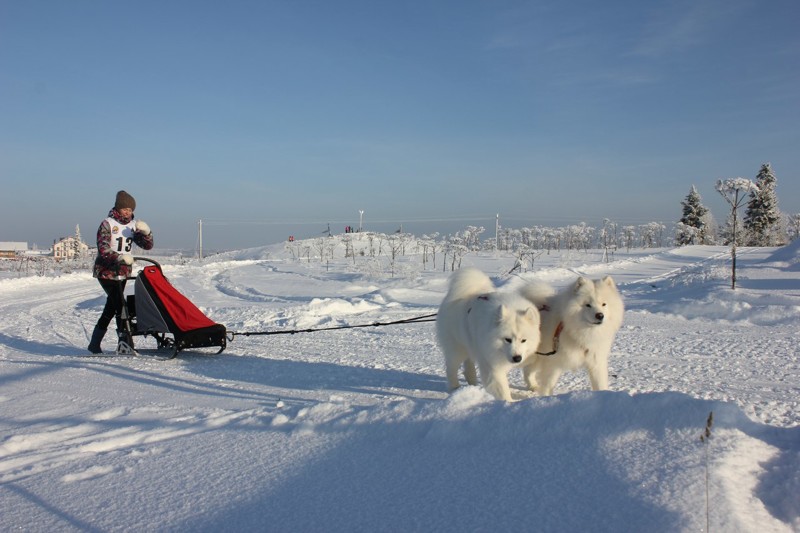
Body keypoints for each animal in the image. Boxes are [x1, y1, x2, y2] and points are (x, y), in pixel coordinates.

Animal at [434, 268, 540, 402]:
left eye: (523, 340)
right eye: (507, 339)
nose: (517, 358)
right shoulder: (491, 364)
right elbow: (501, 387)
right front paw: (508, 402)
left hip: (470, 344)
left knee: (468, 364)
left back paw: (472, 382)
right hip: (457, 349)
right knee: (451, 368)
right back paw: (454, 388)